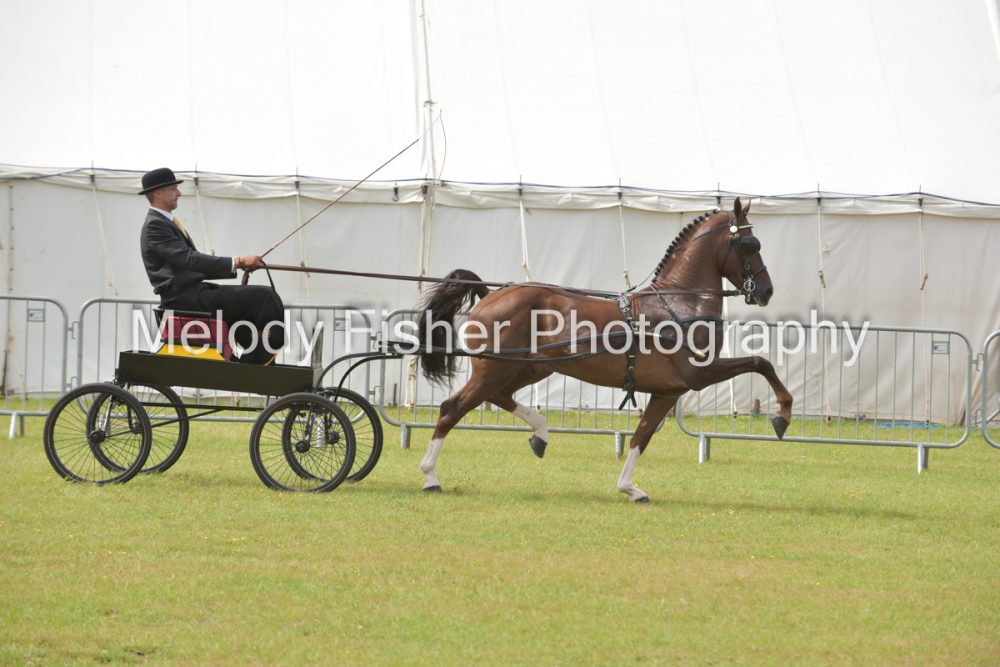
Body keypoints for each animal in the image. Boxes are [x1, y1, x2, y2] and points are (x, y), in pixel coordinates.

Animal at [413, 197, 793, 502]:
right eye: (749, 244)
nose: (766, 291)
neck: (677, 304)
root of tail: (492, 293)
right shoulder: (698, 374)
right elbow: (760, 362)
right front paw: (782, 416)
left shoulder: (667, 391)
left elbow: (641, 437)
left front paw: (629, 488)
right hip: (495, 369)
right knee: (452, 409)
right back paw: (430, 476)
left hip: (529, 368)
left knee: (499, 397)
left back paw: (540, 433)